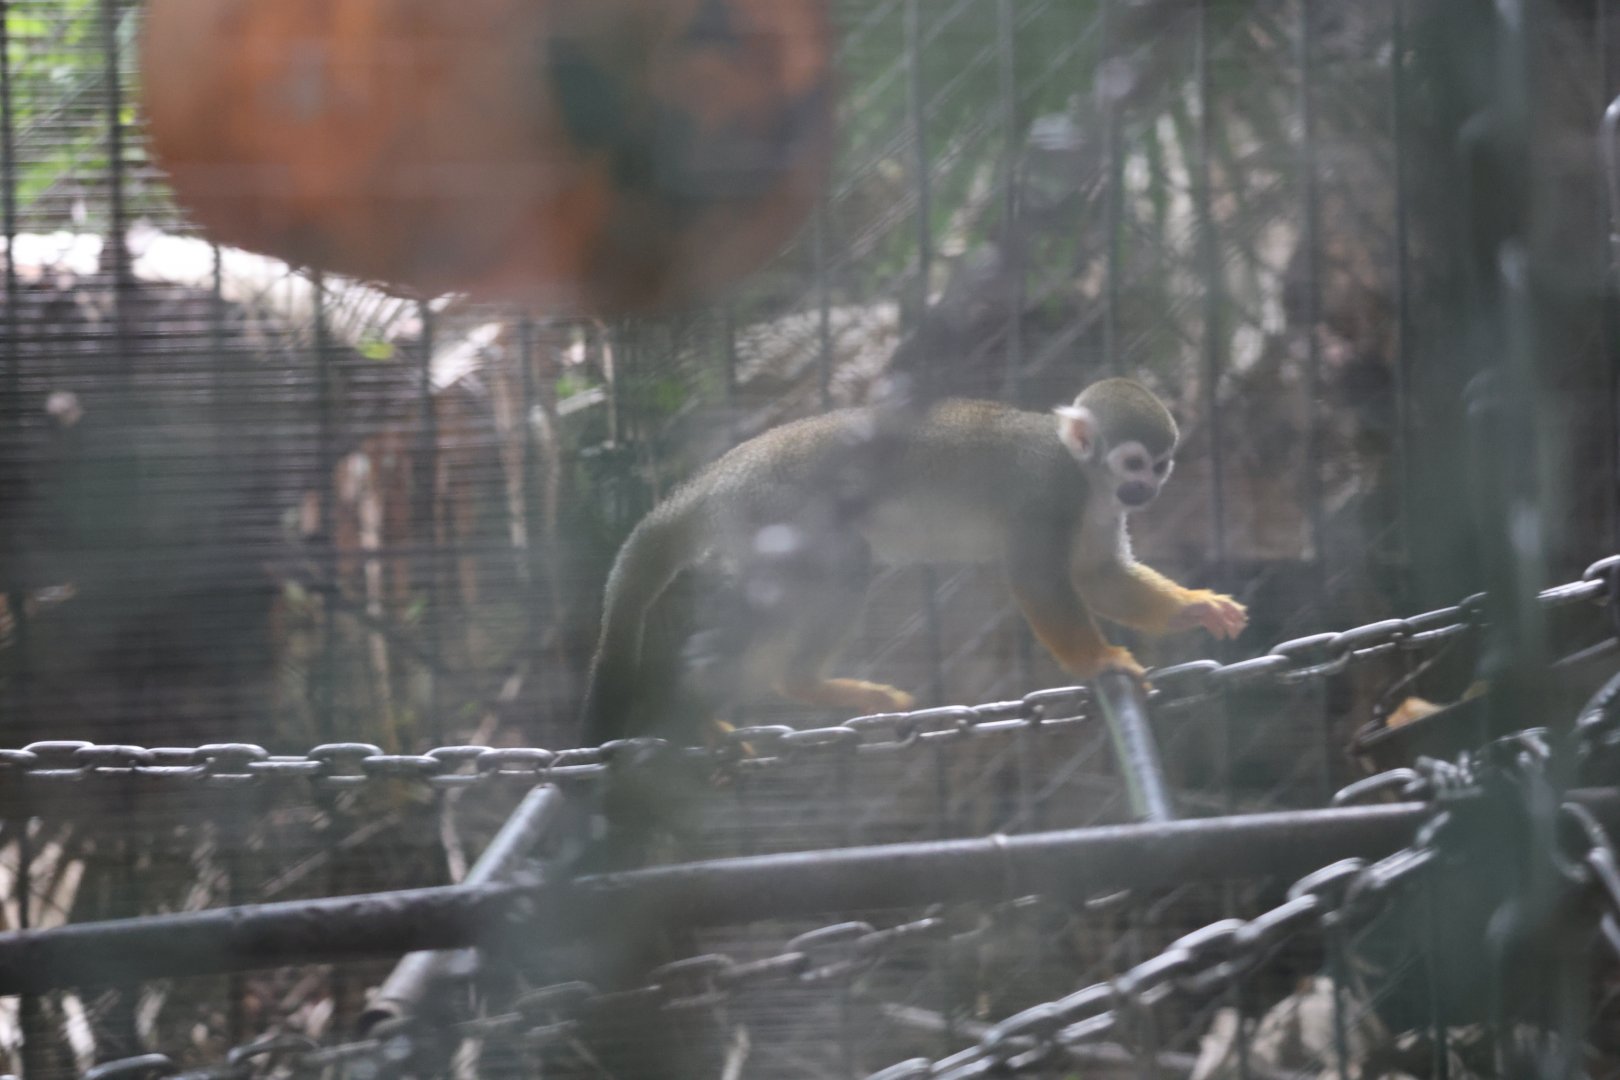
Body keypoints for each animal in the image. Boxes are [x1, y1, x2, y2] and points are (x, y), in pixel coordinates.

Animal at [580, 377, 1247, 744]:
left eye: (1158, 465)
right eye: (1132, 462)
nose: (1145, 490)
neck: (1086, 475)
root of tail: (719, 477)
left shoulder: (1101, 509)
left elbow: (1098, 577)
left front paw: (1195, 608)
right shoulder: (1048, 492)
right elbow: (1039, 579)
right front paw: (1098, 658)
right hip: (778, 510)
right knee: (842, 565)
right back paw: (783, 685)